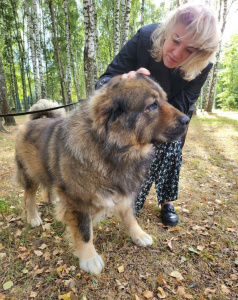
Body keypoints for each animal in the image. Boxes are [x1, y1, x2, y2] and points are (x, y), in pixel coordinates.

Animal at [14, 74, 190, 274]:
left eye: (165, 100)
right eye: (152, 105)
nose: (187, 119)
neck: (114, 150)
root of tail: (32, 121)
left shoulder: (125, 192)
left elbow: (130, 217)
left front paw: (138, 234)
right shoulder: (79, 201)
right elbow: (85, 232)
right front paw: (89, 258)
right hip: (28, 174)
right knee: (28, 197)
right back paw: (33, 217)